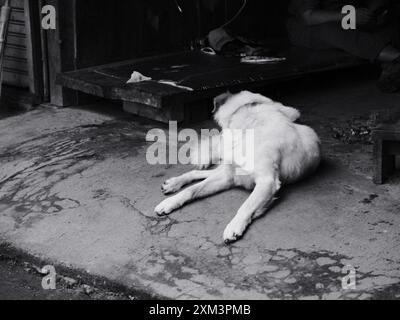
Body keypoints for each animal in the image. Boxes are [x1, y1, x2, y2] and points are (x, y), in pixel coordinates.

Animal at [155, 91, 320, 244]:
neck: (250, 120)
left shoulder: (267, 181)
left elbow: (246, 205)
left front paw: (234, 226)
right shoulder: (229, 176)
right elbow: (192, 189)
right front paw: (170, 202)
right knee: (198, 172)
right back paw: (174, 183)